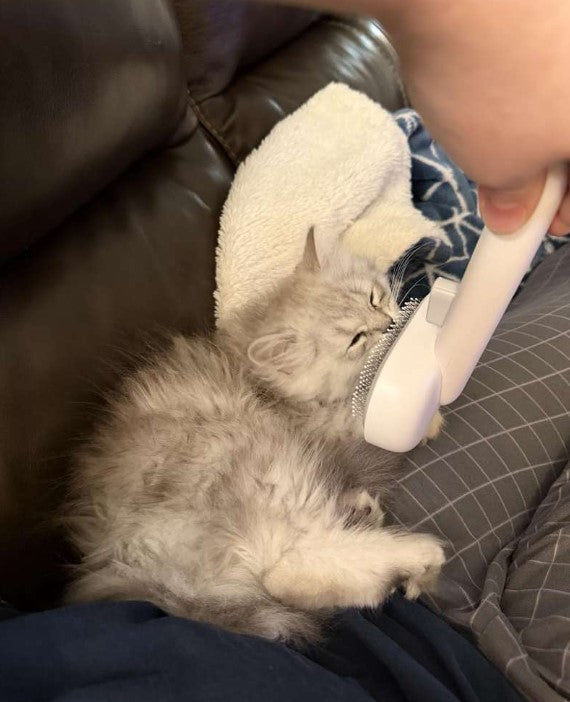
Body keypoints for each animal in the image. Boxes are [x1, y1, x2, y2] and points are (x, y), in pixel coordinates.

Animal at [66, 229, 445, 645]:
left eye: (374, 298)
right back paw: (421, 557)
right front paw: (429, 418)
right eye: (356, 339)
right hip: (271, 472)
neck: (268, 384)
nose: (390, 322)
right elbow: (362, 416)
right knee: (290, 567)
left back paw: (368, 517)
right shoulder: (326, 424)